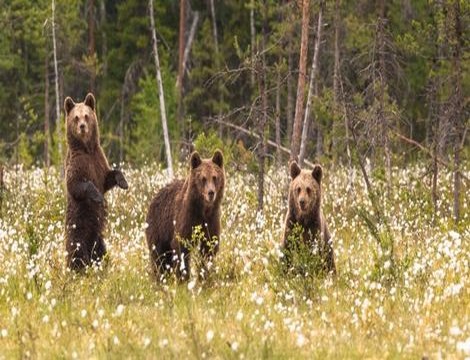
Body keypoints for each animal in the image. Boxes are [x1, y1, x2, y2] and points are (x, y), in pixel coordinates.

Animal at [63, 93, 129, 270]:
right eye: (76, 117)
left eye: (86, 115)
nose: (82, 126)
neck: (87, 149)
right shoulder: (77, 164)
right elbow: (76, 185)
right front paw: (98, 196)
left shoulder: (98, 160)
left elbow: (108, 177)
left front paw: (124, 182)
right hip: (77, 229)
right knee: (76, 253)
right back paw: (77, 268)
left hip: (99, 238)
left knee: (102, 253)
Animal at [146, 149, 225, 282]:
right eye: (203, 178)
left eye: (215, 177)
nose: (211, 193)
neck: (203, 210)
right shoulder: (187, 218)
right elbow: (181, 246)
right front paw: (183, 278)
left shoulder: (211, 219)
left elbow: (209, 247)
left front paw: (205, 276)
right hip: (158, 228)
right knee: (159, 257)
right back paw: (160, 279)